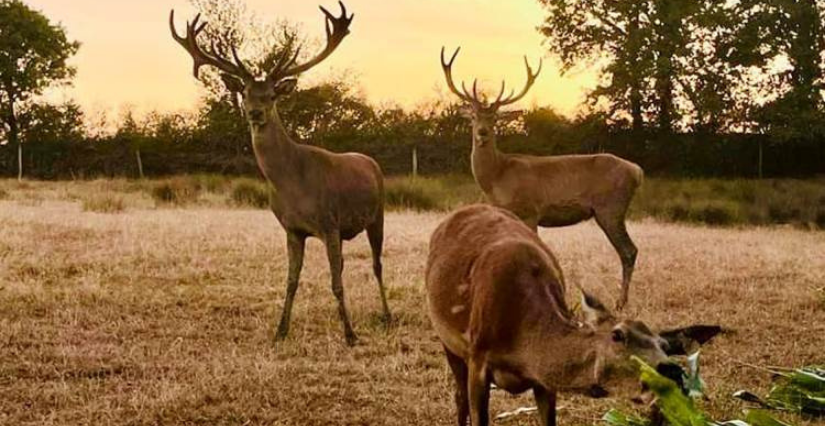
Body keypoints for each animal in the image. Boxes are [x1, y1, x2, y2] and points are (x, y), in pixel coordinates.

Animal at [169, 1, 392, 344]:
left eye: (272, 94)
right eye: (246, 92)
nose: (255, 112)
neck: (293, 184)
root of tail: (370, 161)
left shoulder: (328, 222)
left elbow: (336, 282)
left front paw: (351, 335)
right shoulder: (292, 228)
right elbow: (292, 281)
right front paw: (280, 331)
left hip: (377, 214)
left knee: (377, 264)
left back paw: (387, 315)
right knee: (343, 265)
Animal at [428, 204, 716, 426]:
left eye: (665, 345)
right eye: (617, 335)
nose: (670, 370)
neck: (520, 346)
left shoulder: (544, 381)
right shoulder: (478, 356)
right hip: (448, 340)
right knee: (459, 396)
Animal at [438, 48, 644, 310]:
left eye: (495, 118)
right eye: (474, 116)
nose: (482, 133)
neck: (497, 177)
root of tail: (637, 171)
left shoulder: (530, 211)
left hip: (611, 207)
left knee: (629, 250)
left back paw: (620, 303)